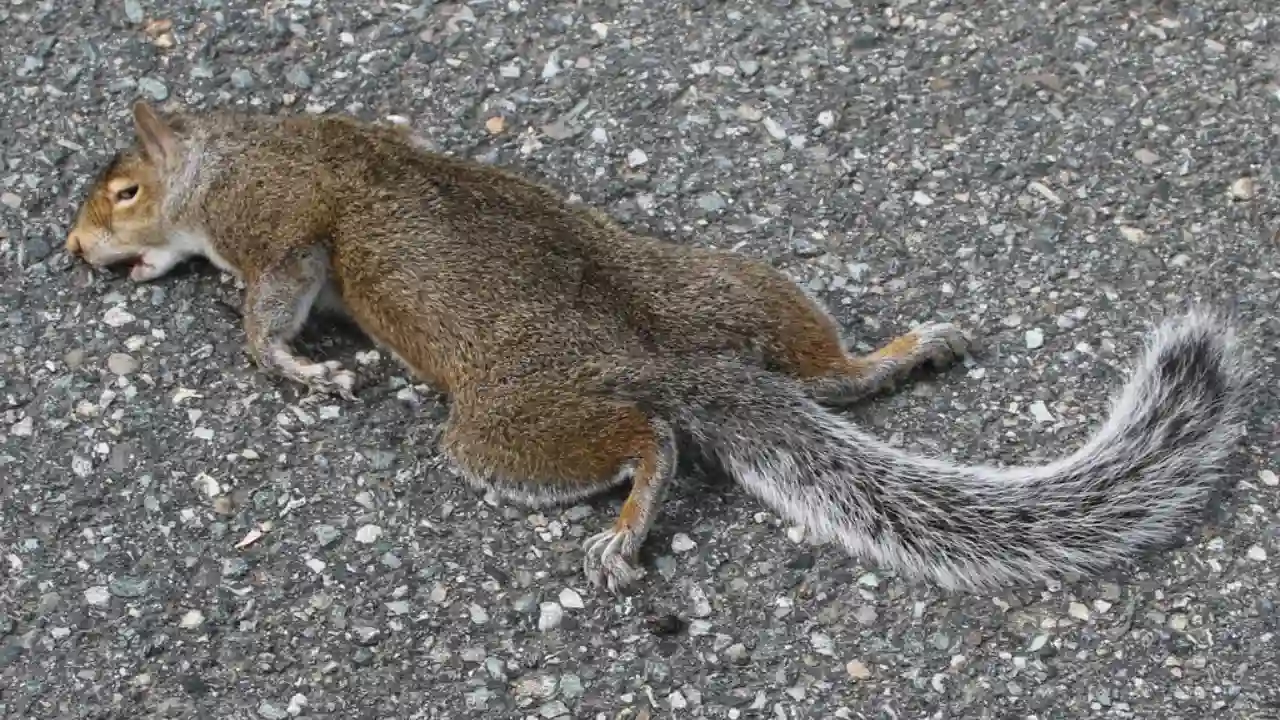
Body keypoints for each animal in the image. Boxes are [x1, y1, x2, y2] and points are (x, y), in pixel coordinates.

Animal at [65, 100, 1253, 593]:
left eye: (122, 190)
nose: (73, 248)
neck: (231, 151)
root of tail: (677, 361)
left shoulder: (276, 229)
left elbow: (273, 306)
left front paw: (297, 367)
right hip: (729, 290)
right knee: (825, 375)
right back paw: (902, 352)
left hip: (508, 424)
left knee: (648, 440)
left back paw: (630, 523)